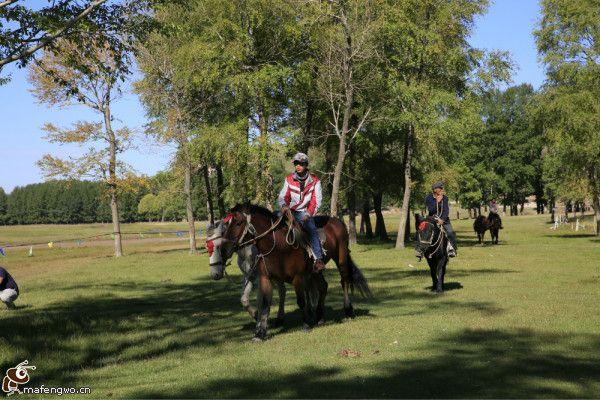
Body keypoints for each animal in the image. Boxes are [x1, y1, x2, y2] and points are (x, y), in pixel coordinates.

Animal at [216, 205, 370, 342]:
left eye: (238, 223)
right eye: (226, 225)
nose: (223, 250)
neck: (278, 245)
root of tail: (336, 221)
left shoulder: (298, 278)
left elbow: (301, 301)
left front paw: (306, 324)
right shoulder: (266, 278)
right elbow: (265, 305)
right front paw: (260, 334)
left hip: (341, 258)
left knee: (344, 281)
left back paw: (348, 310)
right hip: (316, 271)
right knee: (323, 286)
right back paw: (320, 317)